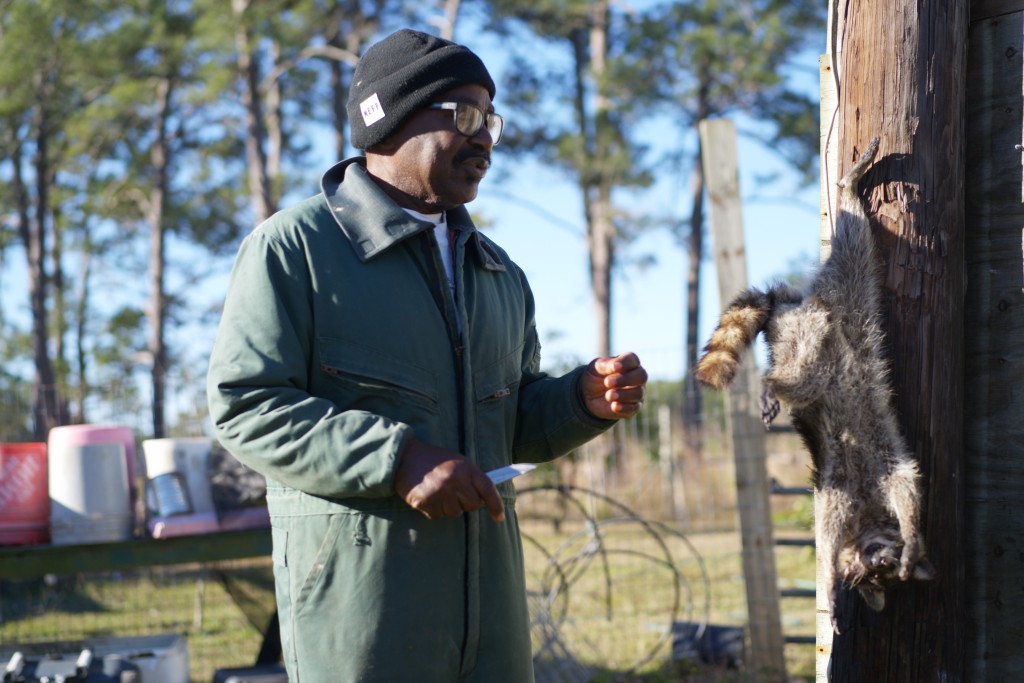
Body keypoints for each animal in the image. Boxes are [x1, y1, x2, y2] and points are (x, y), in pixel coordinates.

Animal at [695, 137, 933, 633]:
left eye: (879, 573)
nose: (870, 567)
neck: (869, 518)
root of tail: (800, 304)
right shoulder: (840, 489)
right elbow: (829, 531)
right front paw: (829, 586)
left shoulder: (877, 473)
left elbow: (906, 484)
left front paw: (913, 536)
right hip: (810, 338)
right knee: (805, 379)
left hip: (842, 295)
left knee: (856, 243)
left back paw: (847, 192)